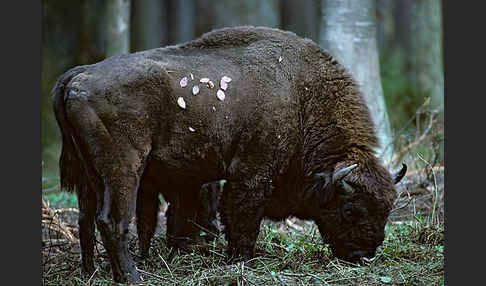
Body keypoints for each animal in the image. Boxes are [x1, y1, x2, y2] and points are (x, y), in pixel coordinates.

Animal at [52, 25, 406, 282]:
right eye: (350, 209)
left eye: (387, 209)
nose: (364, 254)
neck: (301, 96)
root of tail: (77, 77)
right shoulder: (252, 172)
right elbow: (242, 217)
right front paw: (241, 261)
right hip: (123, 170)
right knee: (112, 221)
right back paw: (131, 277)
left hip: (90, 177)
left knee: (86, 220)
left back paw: (92, 271)